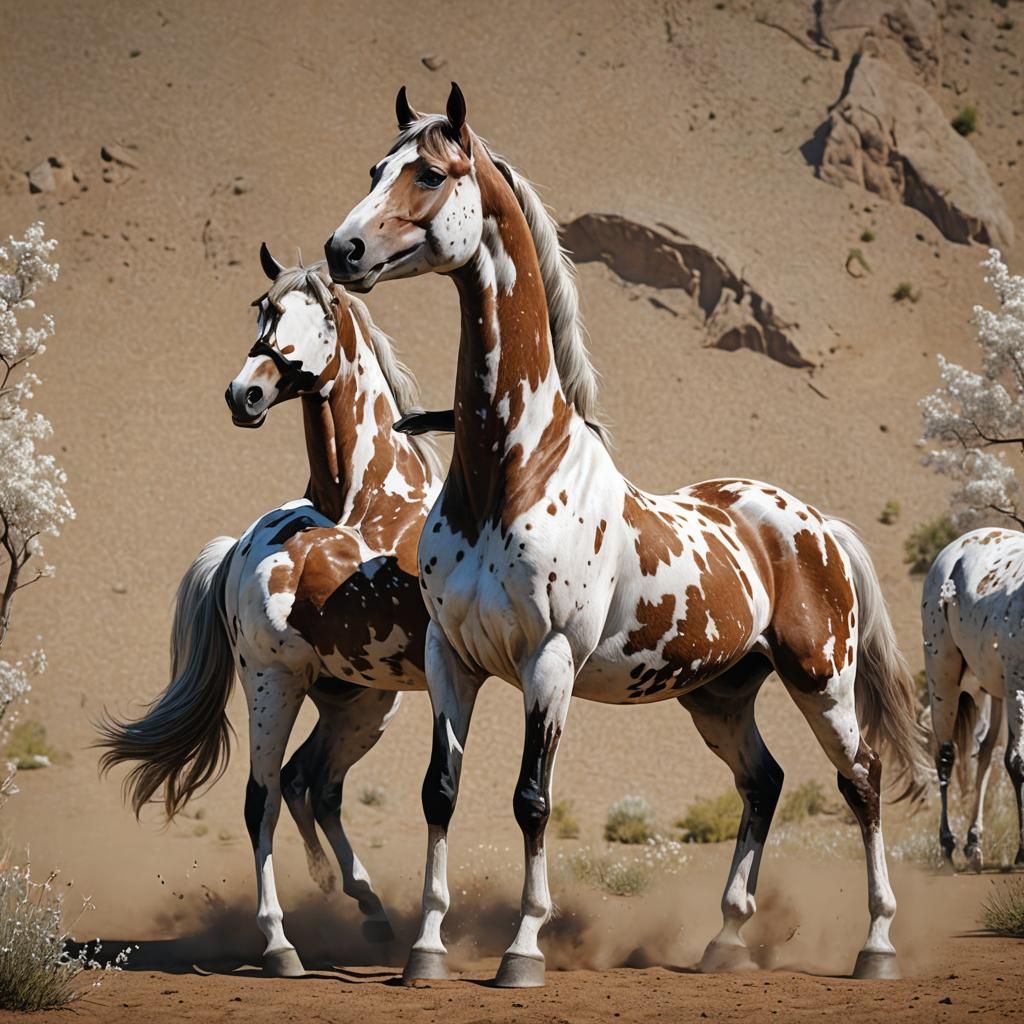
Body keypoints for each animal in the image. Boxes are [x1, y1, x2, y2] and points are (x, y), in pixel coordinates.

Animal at [98, 245, 443, 976]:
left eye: (321, 314)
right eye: (262, 308)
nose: (244, 394)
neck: (358, 510)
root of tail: (233, 547)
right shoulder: (274, 675)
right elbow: (264, 804)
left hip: (360, 703)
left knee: (312, 783)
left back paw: (369, 910)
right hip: (284, 688)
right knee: (272, 793)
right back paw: (283, 940)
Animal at [323, 84, 932, 988]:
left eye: (429, 173)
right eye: (374, 168)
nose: (344, 249)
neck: (511, 471)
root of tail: (816, 526)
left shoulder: (548, 662)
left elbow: (530, 800)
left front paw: (522, 950)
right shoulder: (450, 657)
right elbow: (442, 791)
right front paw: (424, 950)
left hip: (822, 678)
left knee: (860, 779)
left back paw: (878, 945)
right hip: (721, 694)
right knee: (765, 782)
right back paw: (724, 941)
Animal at [922, 526, 1022, 871]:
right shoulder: (1018, 687)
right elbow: (1018, 762)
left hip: (993, 692)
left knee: (985, 754)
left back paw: (973, 844)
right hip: (943, 677)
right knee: (945, 754)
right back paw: (948, 845)